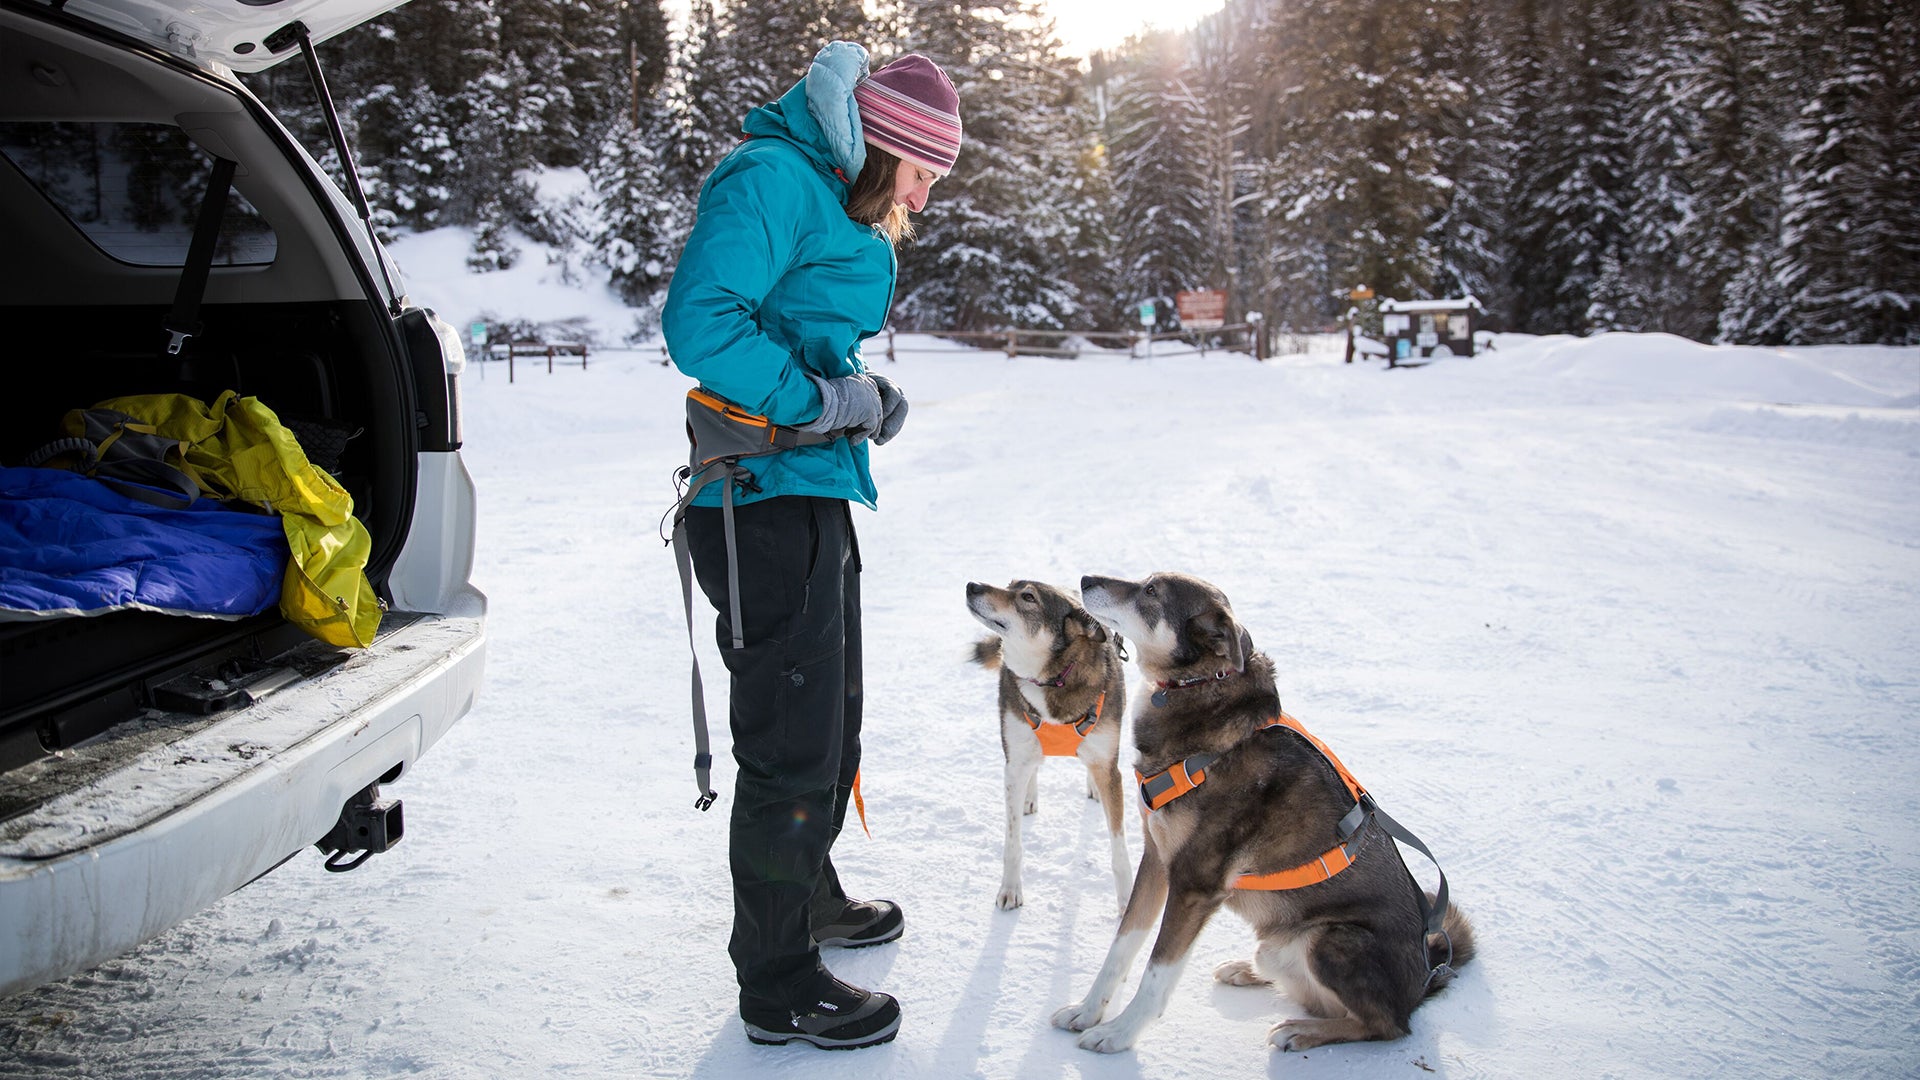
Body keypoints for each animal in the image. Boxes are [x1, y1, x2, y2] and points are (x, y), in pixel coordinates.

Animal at [967, 580, 1128, 907]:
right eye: (1008, 584)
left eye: (1028, 597)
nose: (972, 585)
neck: (1052, 678)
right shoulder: (1014, 761)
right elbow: (1012, 842)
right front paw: (1010, 889)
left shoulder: (1110, 769)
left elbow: (1119, 852)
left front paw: (1127, 905)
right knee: (1033, 766)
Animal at [1052, 572, 1466, 1053]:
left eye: (1151, 592)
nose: (1085, 579)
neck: (1199, 689)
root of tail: (1427, 976)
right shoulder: (1156, 859)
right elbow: (1120, 947)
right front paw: (1087, 1011)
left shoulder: (1195, 883)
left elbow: (1157, 973)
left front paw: (1119, 1033)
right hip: (1280, 944)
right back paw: (1247, 970)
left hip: (1331, 939)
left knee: (1385, 1024)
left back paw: (1301, 1031)